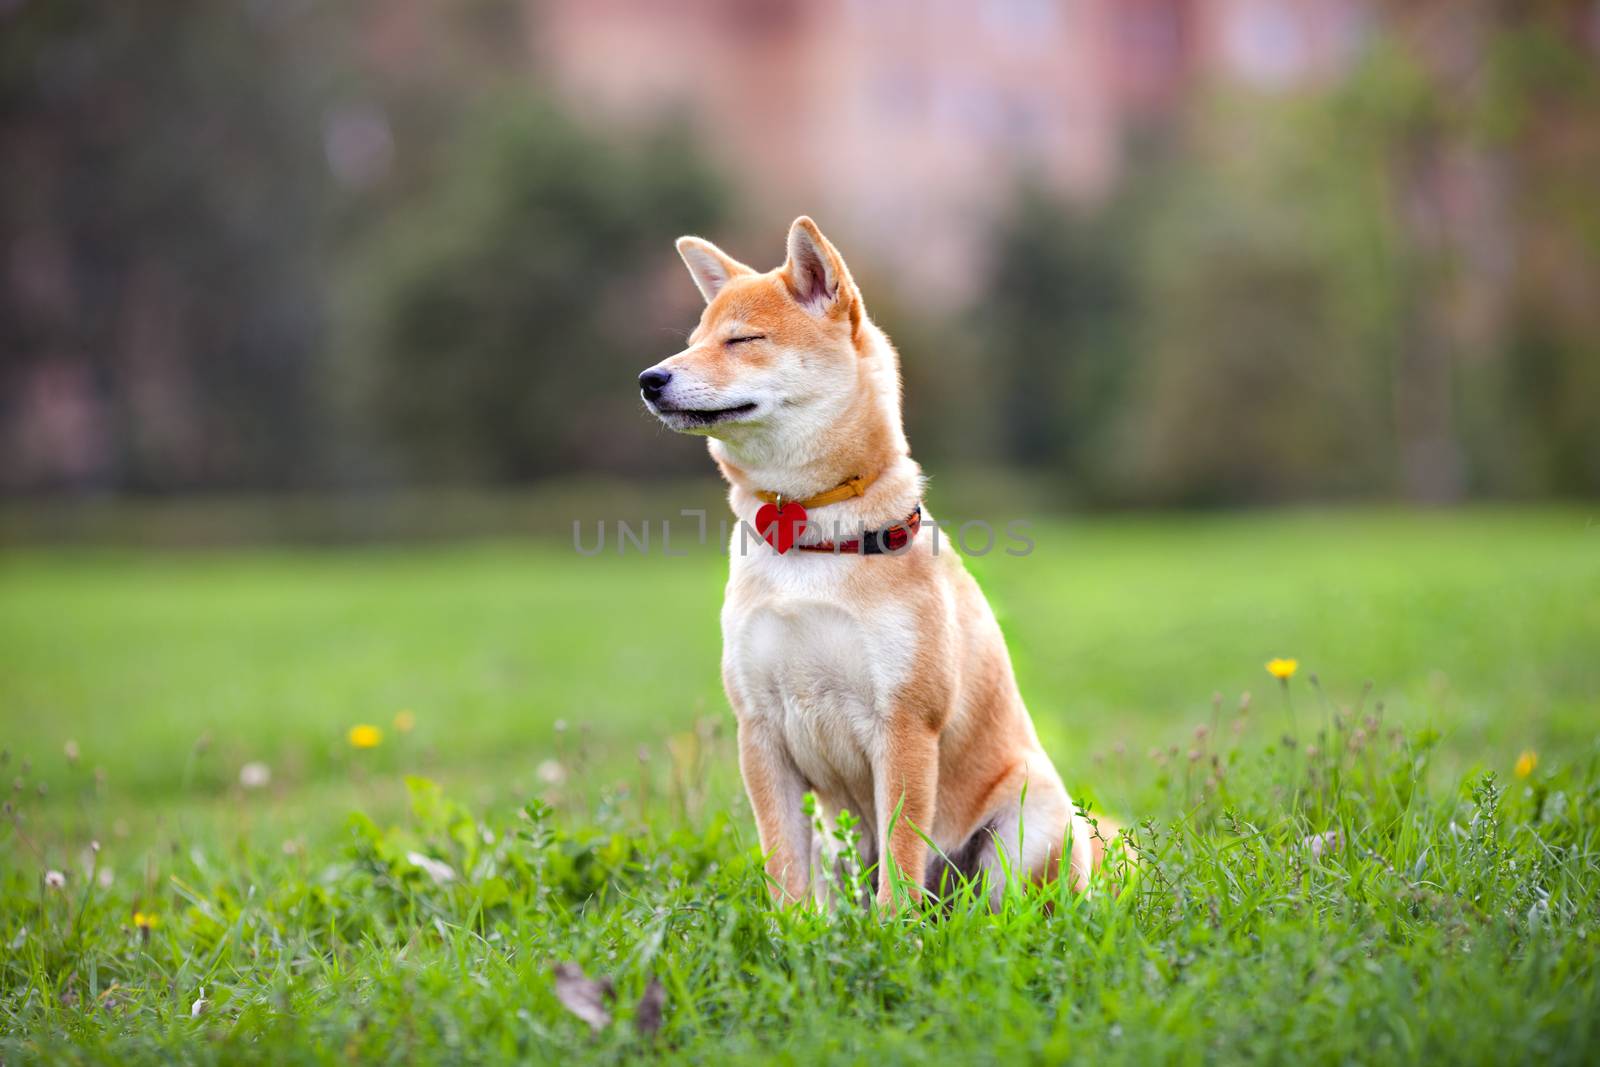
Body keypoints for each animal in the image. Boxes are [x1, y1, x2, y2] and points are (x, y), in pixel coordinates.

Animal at [636, 217, 1113, 908]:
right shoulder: (760, 730)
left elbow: (901, 859)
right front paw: (792, 928)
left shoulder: (906, 725)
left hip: (1033, 823)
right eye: (692, 342)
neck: (807, 538)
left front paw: (892, 931)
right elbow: (783, 867)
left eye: (742, 339)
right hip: (836, 839)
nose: (649, 379)